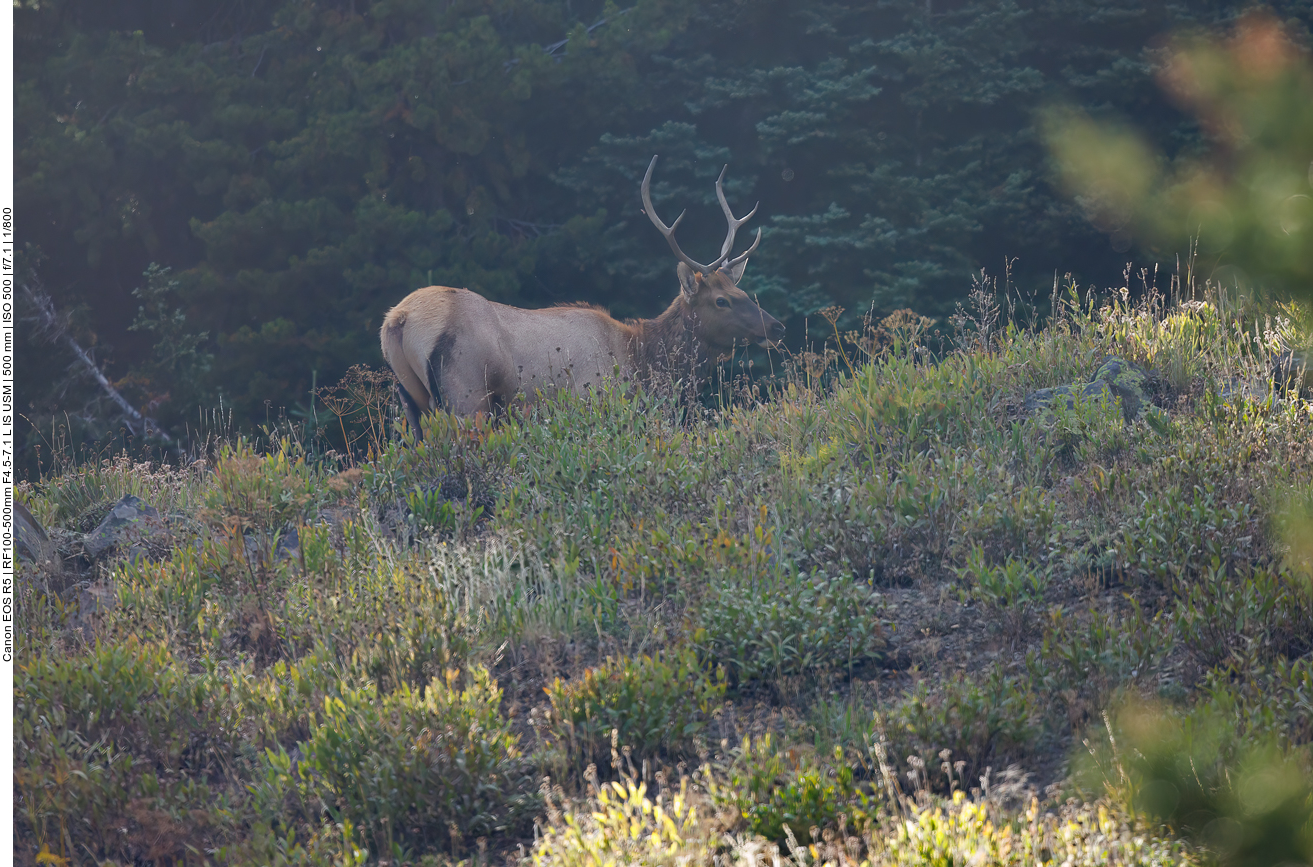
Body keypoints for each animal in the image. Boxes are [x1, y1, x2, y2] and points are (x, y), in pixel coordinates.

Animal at [383, 155, 782, 430]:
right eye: (721, 300)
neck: (641, 362)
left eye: (740, 289)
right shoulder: (593, 400)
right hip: (465, 396)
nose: (777, 326)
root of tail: (399, 320)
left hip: (413, 401)